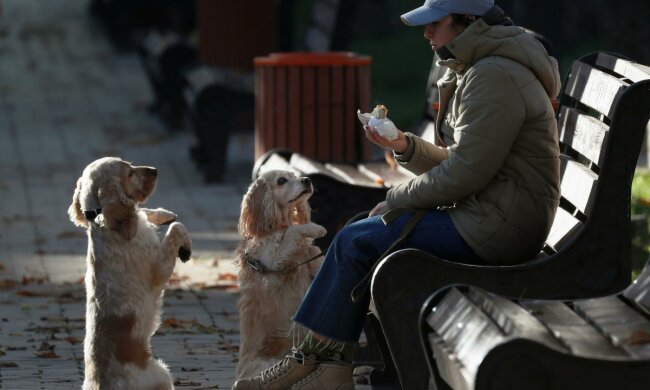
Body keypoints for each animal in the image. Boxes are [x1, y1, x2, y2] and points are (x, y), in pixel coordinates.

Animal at [68, 156, 191, 390]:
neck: (106, 227)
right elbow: (176, 229)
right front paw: (185, 246)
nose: (155, 170)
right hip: (162, 374)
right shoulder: (160, 268)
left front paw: (164, 215)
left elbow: (143, 212)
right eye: (129, 173)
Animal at [234, 170, 326, 378]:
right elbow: (292, 231)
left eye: (296, 175)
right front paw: (313, 227)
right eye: (281, 181)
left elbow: (315, 253)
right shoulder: (272, 262)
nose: (307, 180)